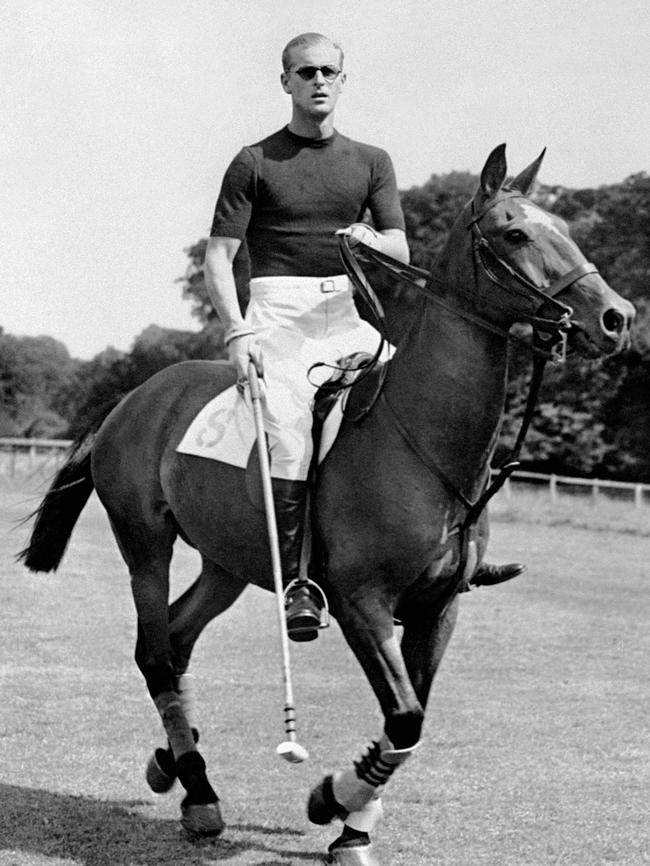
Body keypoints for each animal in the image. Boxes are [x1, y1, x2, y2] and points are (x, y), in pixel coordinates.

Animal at [21, 145, 632, 860]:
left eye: (563, 225)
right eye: (514, 233)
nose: (617, 318)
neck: (419, 437)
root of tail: (131, 399)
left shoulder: (438, 609)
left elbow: (409, 721)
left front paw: (352, 825)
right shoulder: (360, 601)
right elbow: (405, 717)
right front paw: (329, 799)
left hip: (230, 560)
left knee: (176, 638)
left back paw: (173, 761)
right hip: (145, 544)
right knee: (155, 652)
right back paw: (200, 792)